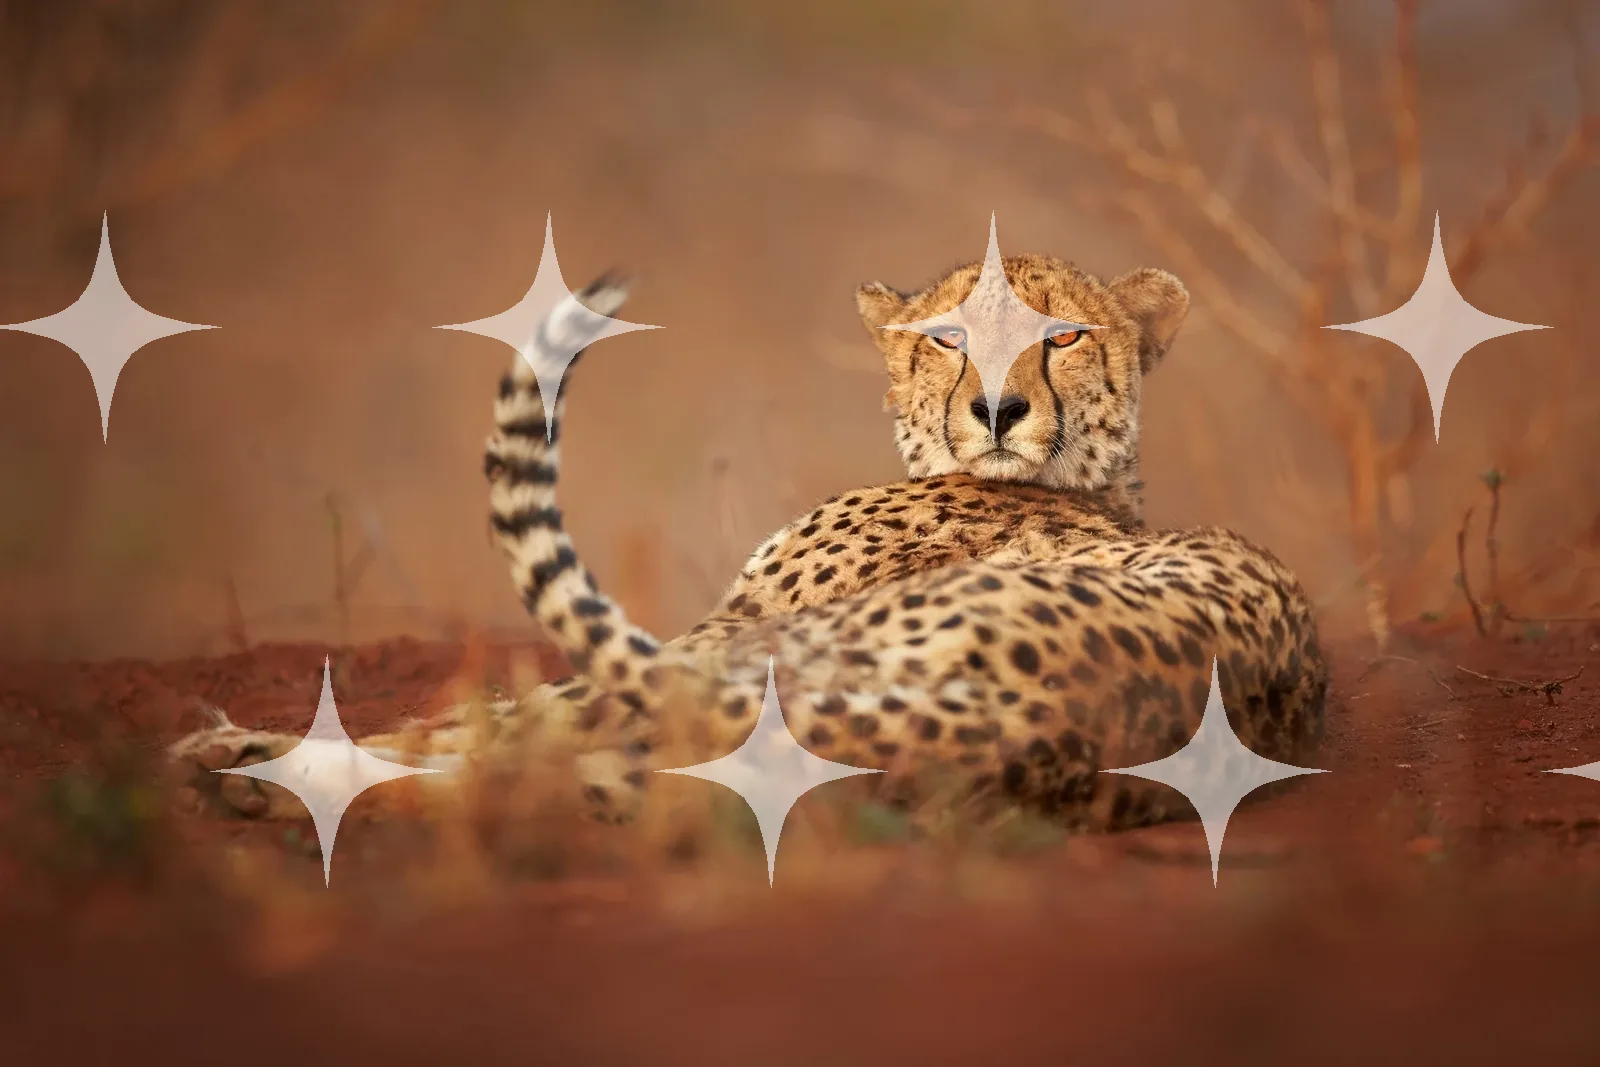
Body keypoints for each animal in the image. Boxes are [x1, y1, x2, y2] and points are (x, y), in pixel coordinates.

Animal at [168, 255, 1328, 841]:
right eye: (948, 335)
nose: (998, 410)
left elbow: (479, 712)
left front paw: (240, 743)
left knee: (525, 754)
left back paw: (262, 773)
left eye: (1064, 335)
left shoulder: (716, 636)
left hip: (760, 661)